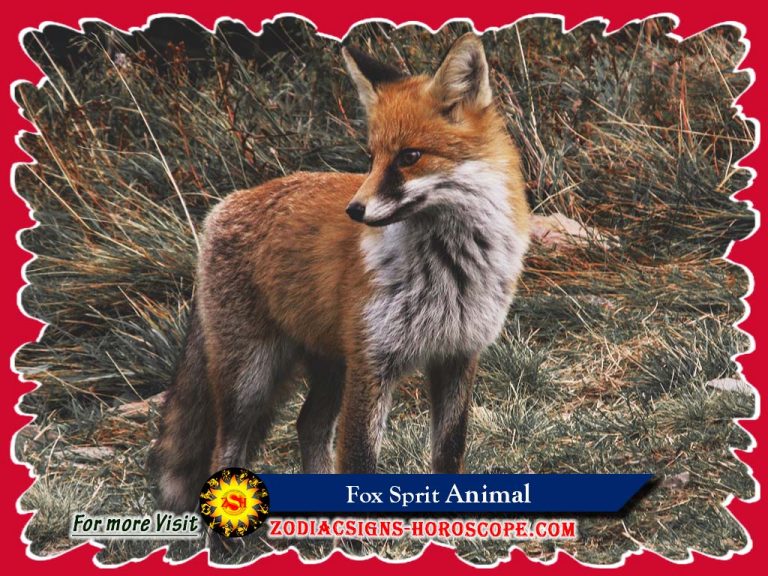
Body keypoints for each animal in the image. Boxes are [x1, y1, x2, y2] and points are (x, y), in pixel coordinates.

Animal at [149, 33, 531, 513]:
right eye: (371, 158)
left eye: (409, 157)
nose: (355, 210)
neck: (449, 270)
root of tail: (225, 205)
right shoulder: (372, 364)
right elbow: (361, 464)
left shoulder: (458, 355)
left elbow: (448, 456)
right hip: (250, 380)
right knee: (226, 451)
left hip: (329, 365)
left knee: (308, 425)